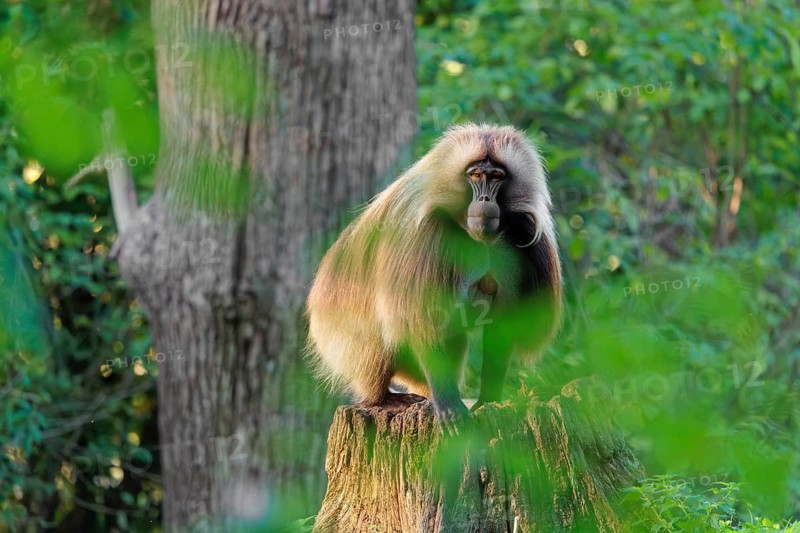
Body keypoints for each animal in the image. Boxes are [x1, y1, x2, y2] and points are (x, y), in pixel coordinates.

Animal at [306, 123, 562, 433]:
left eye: (497, 177)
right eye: (476, 175)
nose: (485, 200)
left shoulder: (514, 246)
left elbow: (502, 326)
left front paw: (487, 401)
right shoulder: (425, 239)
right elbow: (422, 318)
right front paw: (450, 406)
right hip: (338, 328)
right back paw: (383, 399)